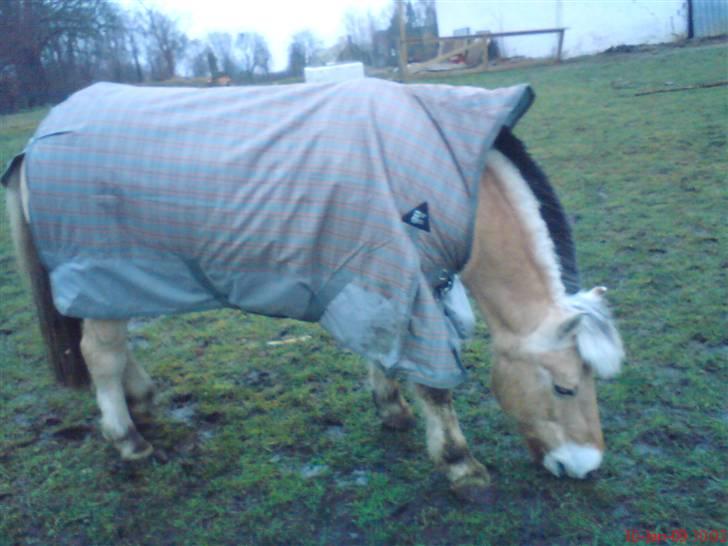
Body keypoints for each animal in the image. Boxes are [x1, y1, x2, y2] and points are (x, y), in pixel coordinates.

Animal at [2, 126, 624, 498]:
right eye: (565, 387)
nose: (587, 466)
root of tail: (34, 146)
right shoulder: (402, 279)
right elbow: (435, 385)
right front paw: (460, 465)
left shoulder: (386, 280)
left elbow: (386, 351)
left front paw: (391, 409)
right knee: (100, 355)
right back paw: (128, 439)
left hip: (122, 275)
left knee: (117, 344)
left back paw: (142, 400)